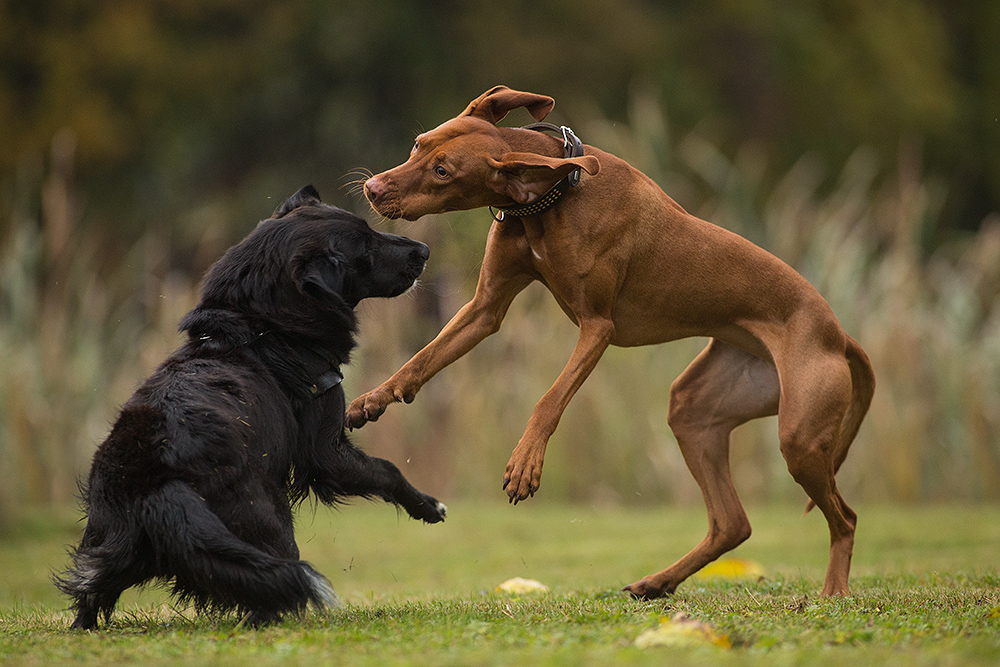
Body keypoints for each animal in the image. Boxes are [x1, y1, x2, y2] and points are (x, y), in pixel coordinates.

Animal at [55, 185, 446, 628]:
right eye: (364, 244)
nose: (424, 249)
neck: (263, 329)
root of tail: (158, 481)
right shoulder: (326, 452)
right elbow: (386, 469)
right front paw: (428, 506)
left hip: (109, 548)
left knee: (91, 591)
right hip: (269, 516)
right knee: (271, 587)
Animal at [350, 85, 876, 600]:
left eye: (443, 172)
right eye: (418, 143)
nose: (373, 190)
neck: (554, 196)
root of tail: (839, 333)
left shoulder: (597, 327)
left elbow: (549, 400)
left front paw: (525, 463)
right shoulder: (485, 308)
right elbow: (423, 358)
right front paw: (373, 399)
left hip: (798, 435)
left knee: (846, 517)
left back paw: (833, 590)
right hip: (696, 411)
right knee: (733, 523)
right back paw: (657, 582)